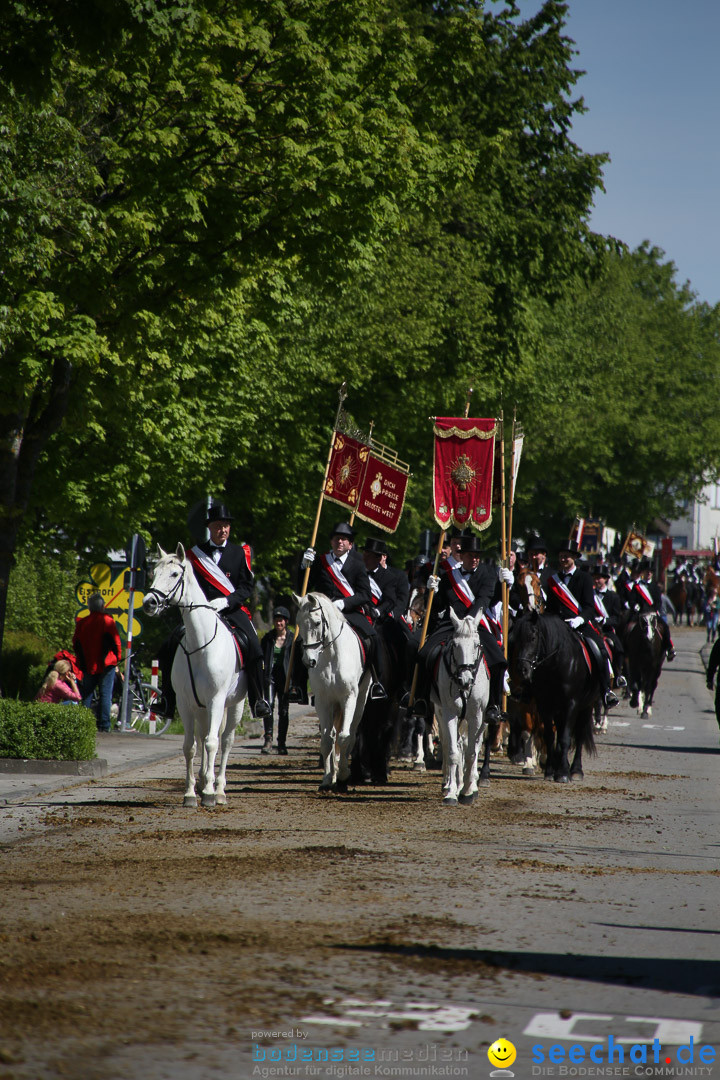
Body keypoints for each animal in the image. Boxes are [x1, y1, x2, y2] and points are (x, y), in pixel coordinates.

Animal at [143, 544, 248, 807]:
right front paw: (190, 793)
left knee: (225, 741)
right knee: (203, 737)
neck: (200, 643)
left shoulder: (216, 700)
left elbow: (213, 743)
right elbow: (190, 746)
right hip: (201, 708)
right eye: (154, 572)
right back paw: (202, 782)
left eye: (174, 574)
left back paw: (218, 789)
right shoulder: (185, 703)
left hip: (234, 705)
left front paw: (210, 793)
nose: (149, 603)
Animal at [293, 591, 371, 794]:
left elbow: (344, 737)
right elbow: (327, 740)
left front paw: (343, 776)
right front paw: (328, 778)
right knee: (333, 735)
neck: (330, 656)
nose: (309, 661)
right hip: (333, 705)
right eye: (298, 623)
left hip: (359, 701)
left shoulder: (349, 698)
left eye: (317, 622)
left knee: (351, 733)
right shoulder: (322, 700)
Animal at [431, 613, 492, 807]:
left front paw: (467, 791)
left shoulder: (476, 716)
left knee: (473, 744)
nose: (465, 680)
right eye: (455, 645)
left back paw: (471, 782)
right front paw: (451, 792)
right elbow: (453, 751)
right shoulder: (448, 714)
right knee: (453, 744)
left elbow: (472, 752)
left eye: (476, 645)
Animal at [509, 613, 600, 781]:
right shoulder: (545, 704)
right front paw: (551, 771)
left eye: (533, 638)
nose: (522, 670)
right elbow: (550, 736)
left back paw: (576, 770)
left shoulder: (572, 704)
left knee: (579, 735)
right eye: (515, 640)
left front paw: (563, 773)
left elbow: (565, 738)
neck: (554, 665)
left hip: (586, 706)